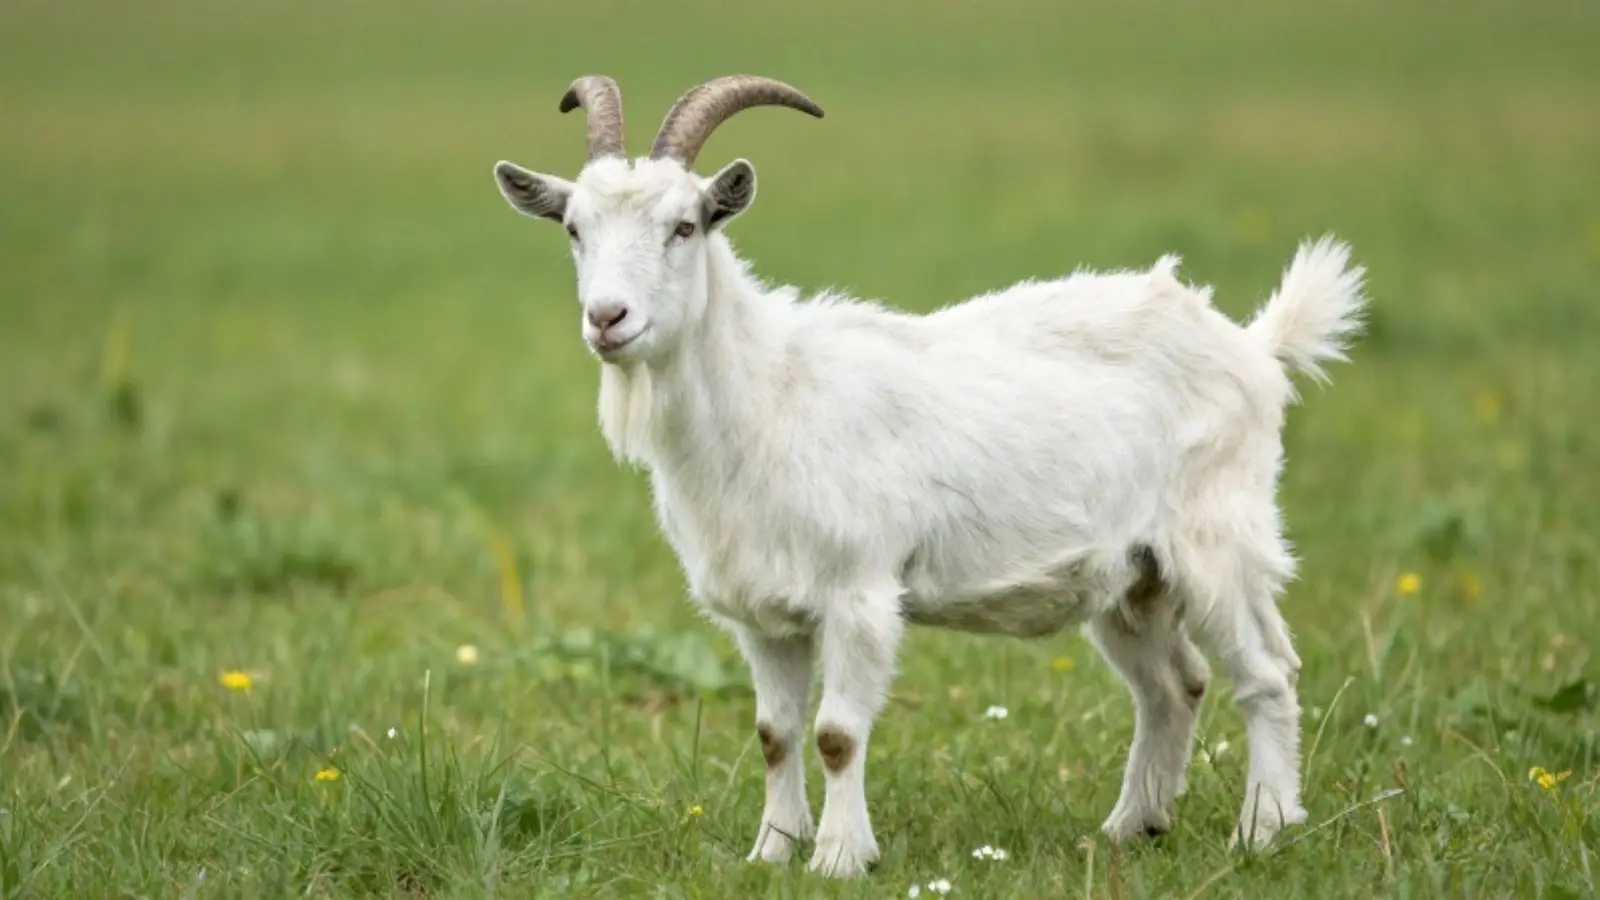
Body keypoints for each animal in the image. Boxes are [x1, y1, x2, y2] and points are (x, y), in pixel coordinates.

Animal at [491, 74, 1366, 878]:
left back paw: (1262, 831)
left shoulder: (859, 593)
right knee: (1172, 685)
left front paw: (838, 858)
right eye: (575, 228)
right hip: (1133, 575)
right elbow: (775, 734)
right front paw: (771, 852)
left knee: (1266, 675)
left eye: (684, 225)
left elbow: (836, 735)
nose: (608, 319)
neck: (769, 394)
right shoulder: (763, 616)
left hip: (1218, 537)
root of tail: (1254, 345)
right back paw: (1130, 827)